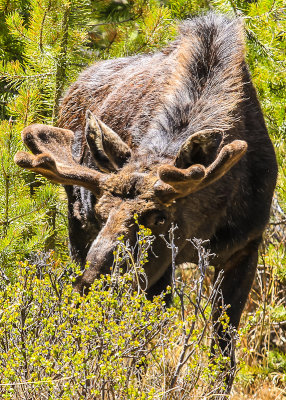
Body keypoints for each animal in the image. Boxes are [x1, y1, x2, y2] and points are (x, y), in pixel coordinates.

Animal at [13, 10, 278, 382]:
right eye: (102, 212)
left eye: (160, 216)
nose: (93, 282)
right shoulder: (155, 268)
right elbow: (138, 351)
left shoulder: (245, 245)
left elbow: (223, 354)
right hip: (76, 229)